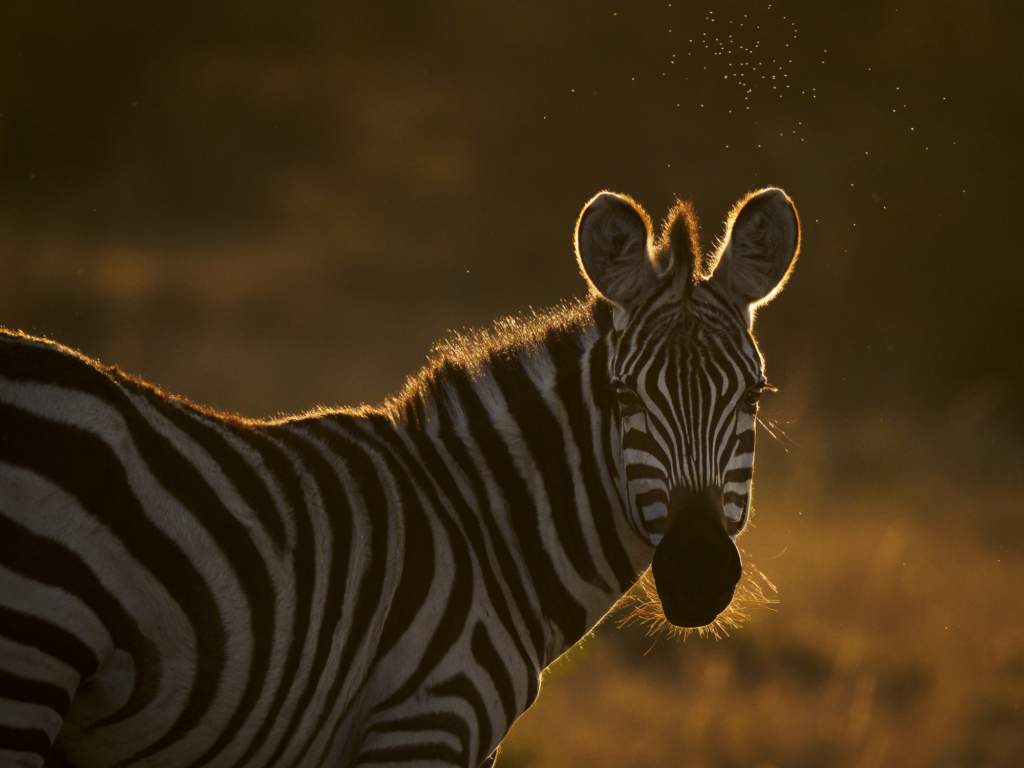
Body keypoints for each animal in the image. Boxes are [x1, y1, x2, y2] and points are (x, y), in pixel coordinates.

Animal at [0, 183, 798, 765]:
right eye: (624, 396)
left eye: (754, 396)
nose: (697, 575)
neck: (487, 531)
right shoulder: (426, 720)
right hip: (32, 651)